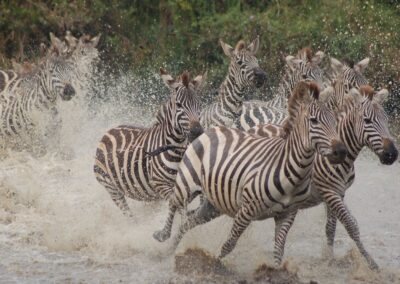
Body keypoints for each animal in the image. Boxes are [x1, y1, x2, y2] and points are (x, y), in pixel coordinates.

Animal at [93, 67, 206, 216]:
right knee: (129, 215)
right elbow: (180, 210)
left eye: (199, 104)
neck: (177, 150)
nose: (197, 131)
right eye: (179, 105)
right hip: (112, 189)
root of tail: (108, 132)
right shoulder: (162, 186)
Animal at [153, 81, 346, 258]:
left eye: (334, 119)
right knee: (174, 202)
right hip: (188, 183)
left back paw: (171, 249)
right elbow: (228, 245)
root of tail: (208, 130)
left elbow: (278, 251)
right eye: (314, 121)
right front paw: (216, 264)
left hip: (213, 203)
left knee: (188, 221)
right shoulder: (246, 210)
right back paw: (162, 235)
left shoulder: (287, 215)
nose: (340, 151)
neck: (289, 168)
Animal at [250, 85, 396, 270]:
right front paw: (371, 262)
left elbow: (332, 227)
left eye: (386, 120)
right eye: (367, 120)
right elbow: (351, 225)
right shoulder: (329, 192)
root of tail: (257, 126)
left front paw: (328, 258)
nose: (392, 154)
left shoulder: (338, 193)